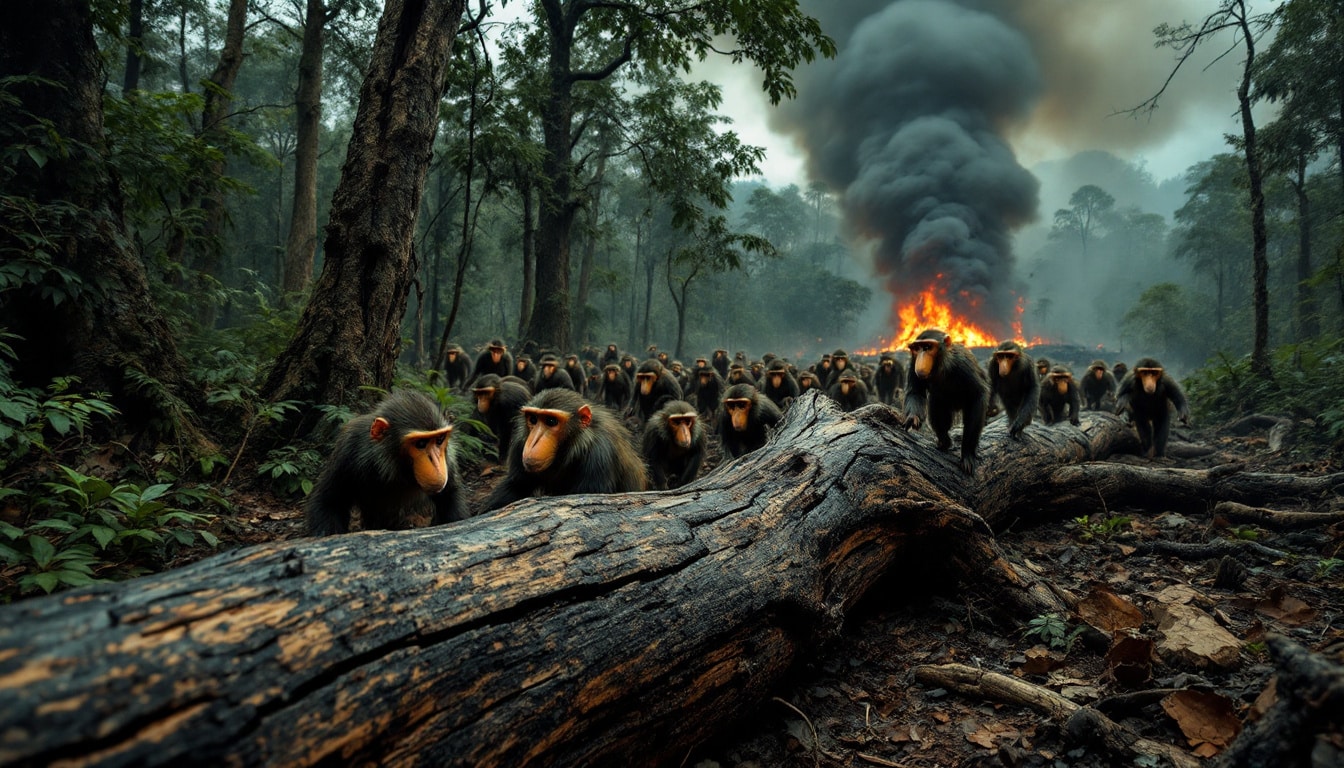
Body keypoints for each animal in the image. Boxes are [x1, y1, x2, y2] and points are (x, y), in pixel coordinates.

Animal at [306, 390, 467, 535]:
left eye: (439, 440)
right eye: (421, 444)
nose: (435, 462)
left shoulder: (449, 457)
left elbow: (450, 496)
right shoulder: (349, 449)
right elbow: (329, 501)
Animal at [483, 390, 650, 511]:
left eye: (551, 421)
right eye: (533, 420)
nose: (533, 442)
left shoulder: (600, 453)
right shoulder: (519, 443)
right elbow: (516, 486)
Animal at [903, 329, 989, 476]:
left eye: (927, 347)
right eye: (917, 348)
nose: (921, 357)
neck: (941, 365)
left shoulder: (963, 364)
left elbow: (978, 395)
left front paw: (967, 453)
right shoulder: (912, 361)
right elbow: (916, 392)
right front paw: (912, 418)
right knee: (936, 402)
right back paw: (944, 441)